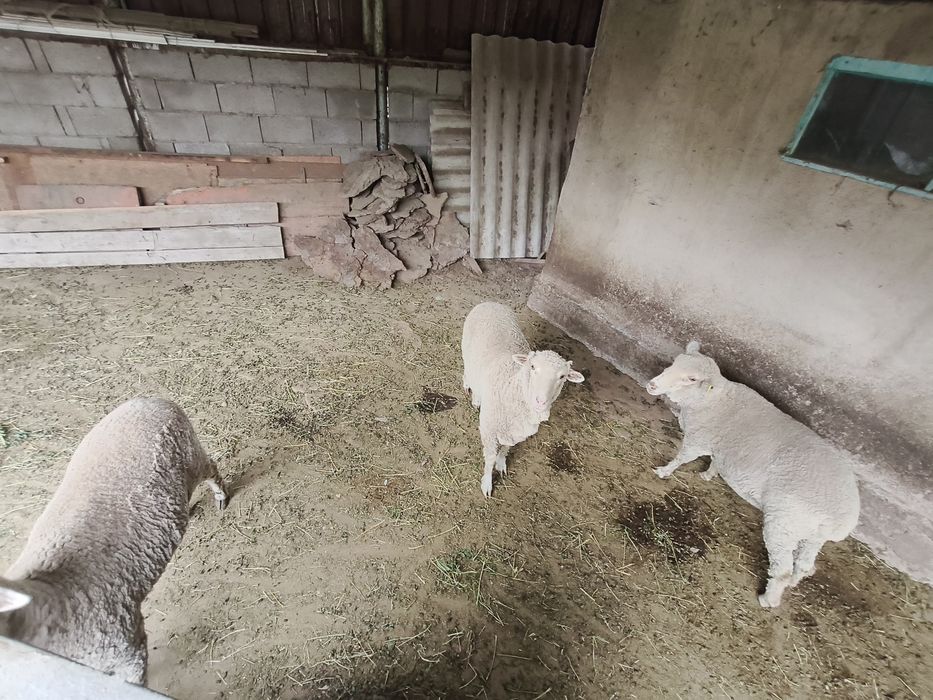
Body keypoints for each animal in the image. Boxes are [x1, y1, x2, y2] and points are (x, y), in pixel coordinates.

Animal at [462, 302, 584, 498]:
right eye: (532, 367)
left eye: (563, 376)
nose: (540, 401)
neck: (511, 385)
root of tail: (490, 303)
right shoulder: (489, 430)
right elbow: (489, 459)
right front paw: (487, 483)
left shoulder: (518, 432)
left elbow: (506, 448)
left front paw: (501, 464)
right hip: (466, 352)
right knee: (468, 372)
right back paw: (472, 393)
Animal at [646, 341, 860, 608]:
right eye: (674, 362)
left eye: (691, 378)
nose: (652, 385)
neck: (712, 400)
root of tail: (842, 519)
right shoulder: (721, 448)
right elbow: (717, 462)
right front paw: (708, 474)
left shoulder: (699, 438)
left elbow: (682, 458)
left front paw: (664, 471)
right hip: (811, 535)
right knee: (803, 564)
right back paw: (793, 583)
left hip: (783, 523)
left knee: (783, 568)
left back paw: (768, 599)